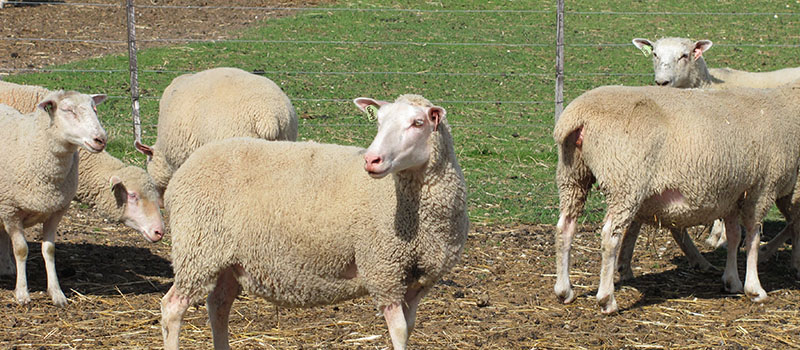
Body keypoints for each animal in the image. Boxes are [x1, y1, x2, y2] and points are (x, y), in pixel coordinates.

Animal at [0, 91, 108, 306]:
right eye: (67, 110)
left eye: (95, 108)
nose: (101, 139)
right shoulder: (10, 210)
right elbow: (21, 250)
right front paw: (22, 293)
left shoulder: (56, 210)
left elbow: (49, 250)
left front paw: (56, 293)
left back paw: (7, 267)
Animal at [158, 94, 468, 348]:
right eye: (378, 122)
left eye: (418, 123)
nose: (372, 160)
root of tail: (186, 169)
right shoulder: (384, 271)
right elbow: (400, 332)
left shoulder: (419, 280)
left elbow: (410, 327)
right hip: (198, 250)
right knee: (172, 308)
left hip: (225, 260)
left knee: (219, 307)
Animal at [552, 82, 800, 314]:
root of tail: (578, 116)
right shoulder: (762, 188)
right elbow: (752, 239)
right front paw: (755, 289)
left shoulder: (732, 193)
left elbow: (734, 236)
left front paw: (732, 281)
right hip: (625, 180)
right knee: (609, 236)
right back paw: (607, 299)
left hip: (572, 174)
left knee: (566, 226)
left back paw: (564, 290)